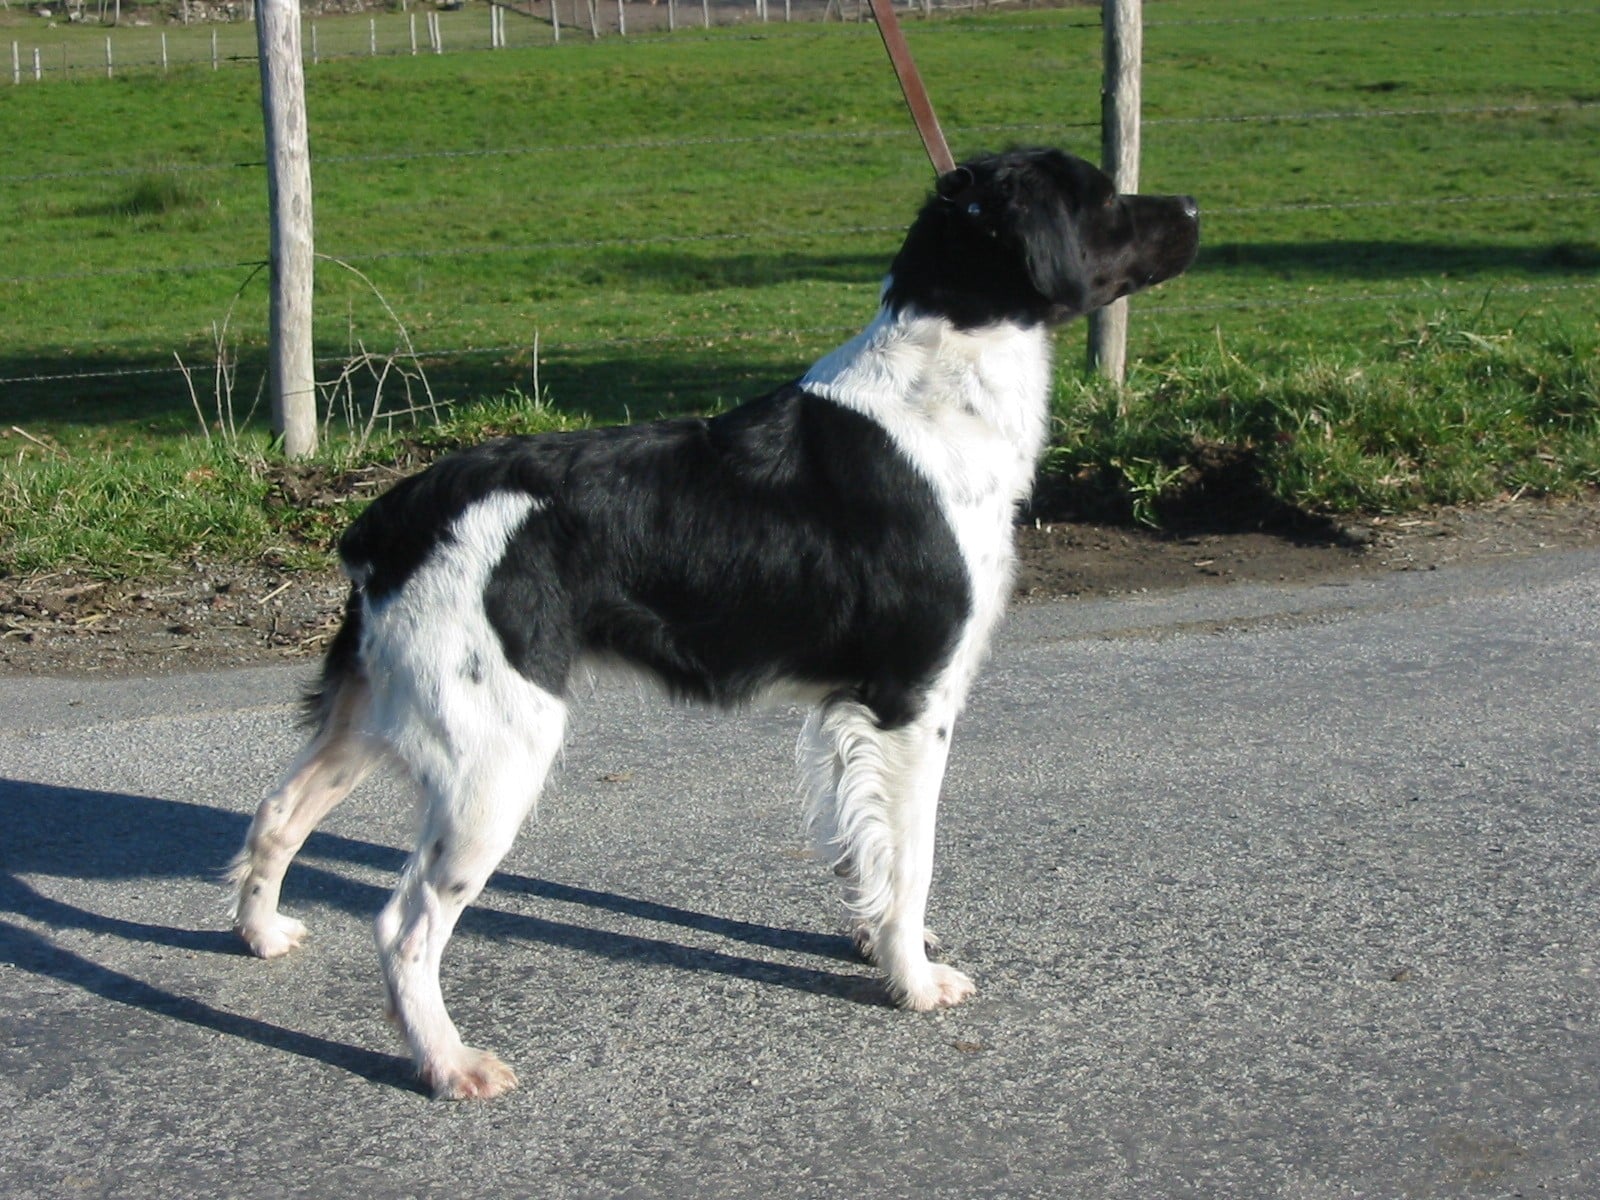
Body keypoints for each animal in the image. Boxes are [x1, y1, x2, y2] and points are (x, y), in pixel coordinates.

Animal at [228, 147, 1199, 1100]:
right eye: (1103, 197)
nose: (1191, 205)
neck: (939, 386)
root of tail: (392, 519)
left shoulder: (848, 709)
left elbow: (865, 848)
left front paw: (873, 942)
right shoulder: (911, 701)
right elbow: (912, 856)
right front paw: (914, 980)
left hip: (377, 714)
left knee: (277, 812)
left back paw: (261, 934)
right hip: (495, 755)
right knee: (404, 925)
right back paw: (448, 1063)